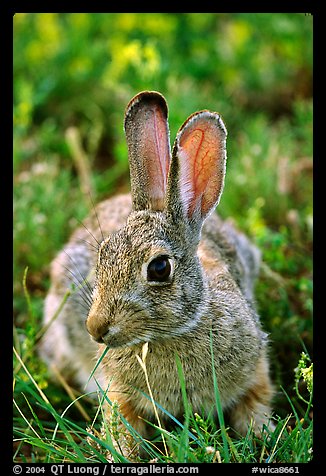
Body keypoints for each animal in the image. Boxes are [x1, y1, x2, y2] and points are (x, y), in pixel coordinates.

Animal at [41, 90, 276, 458]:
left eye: (159, 268)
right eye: (103, 254)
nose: (95, 328)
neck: (172, 333)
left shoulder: (255, 370)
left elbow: (255, 405)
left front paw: (262, 437)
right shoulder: (118, 393)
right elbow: (122, 426)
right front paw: (121, 454)